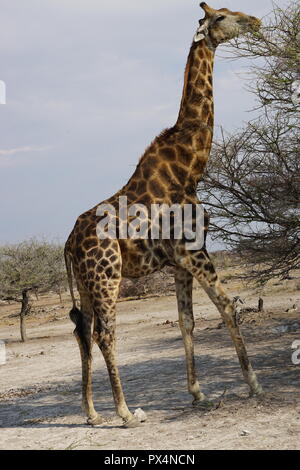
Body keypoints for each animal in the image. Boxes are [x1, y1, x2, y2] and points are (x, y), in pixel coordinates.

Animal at [65, 2, 262, 430]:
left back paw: (92, 413)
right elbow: (227, 306)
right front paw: (254, 384)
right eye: (221, 17)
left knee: (84, 333)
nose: (256, 20)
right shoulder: (195, 251)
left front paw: (199, 394)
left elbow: (187, 320)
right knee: (106, 334)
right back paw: (125, 412)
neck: (190, 166)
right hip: (107, 276)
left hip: (86, 283)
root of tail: (68, 244)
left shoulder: (179, 261)